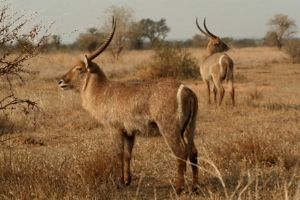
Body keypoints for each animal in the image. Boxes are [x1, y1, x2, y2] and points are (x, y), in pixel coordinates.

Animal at [58, 16, 199, 194]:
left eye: (78, 68)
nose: (60, 81)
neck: (102, 90)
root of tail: (185, 89)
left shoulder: (115, 128)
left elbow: (117, 154)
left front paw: (118, 183)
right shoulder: (130, 132)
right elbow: (128, 154)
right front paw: (127, 181)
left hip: (170, 129)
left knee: (181, 152)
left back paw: (179, 188)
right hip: (190, 128)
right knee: (193, 151)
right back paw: (195, 187)